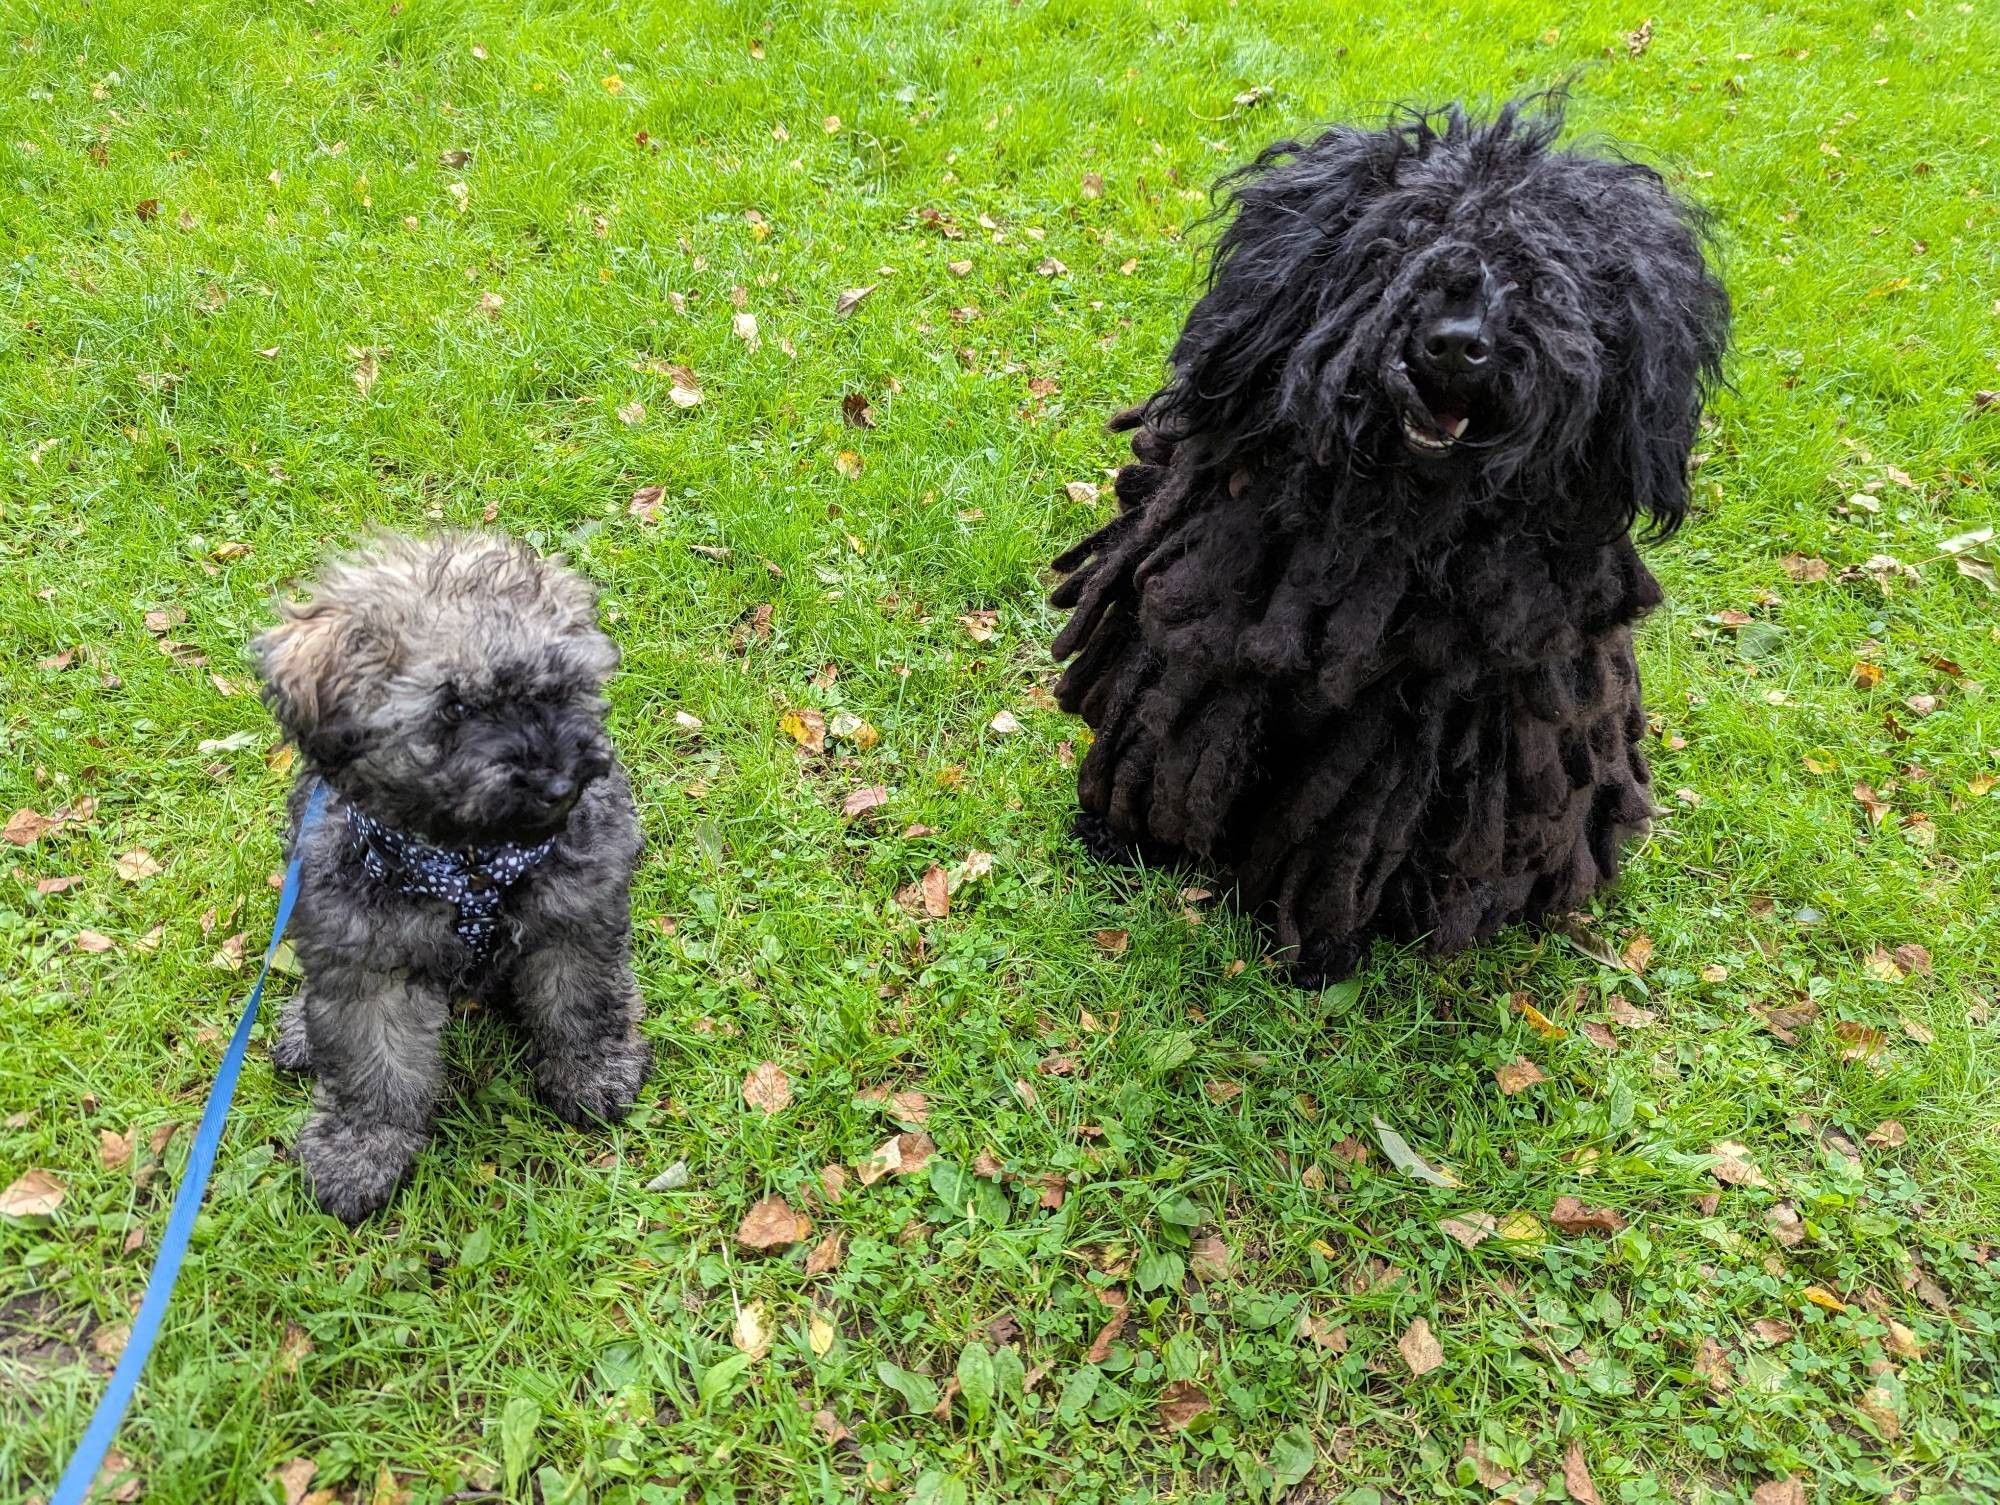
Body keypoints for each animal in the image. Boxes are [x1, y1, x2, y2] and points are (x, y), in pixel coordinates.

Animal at [254, 536, 648, 1216]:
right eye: (455, 705)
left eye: (558, 690)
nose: (557, 782)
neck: (468, 866)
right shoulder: (367, 960)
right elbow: (374, 1065)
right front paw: (362, 1151)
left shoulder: (575, 916)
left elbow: (580, 1001)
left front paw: (593, 1072)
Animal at [1056, 97, 1728, 988]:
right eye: (1404, 237)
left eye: (1542, 272)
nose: (1456, 343)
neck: (1385, 543)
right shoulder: (1196, 642)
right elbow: (1168, 736)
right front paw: (1122, 835)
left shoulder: (1409, 740)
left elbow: (1345, 836)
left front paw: (1316, 950)